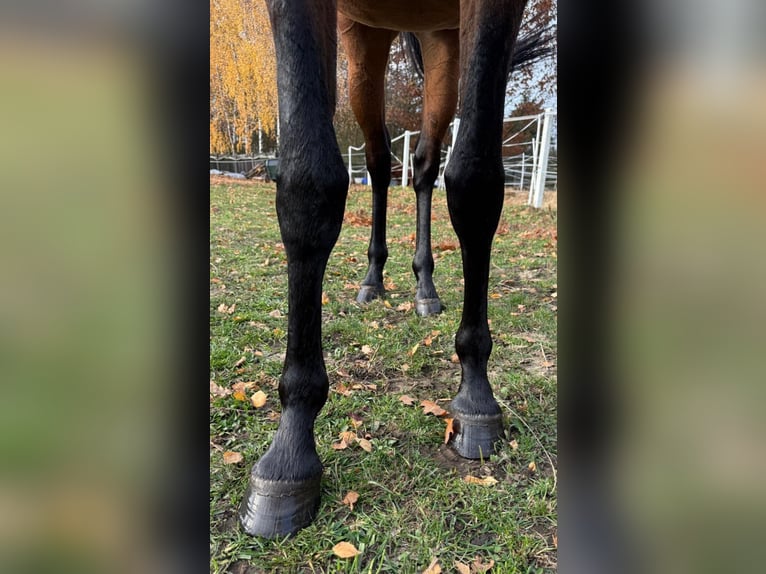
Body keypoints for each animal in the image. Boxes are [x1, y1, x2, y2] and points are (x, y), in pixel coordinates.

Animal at [240, 0, 552, 538]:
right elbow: (308, 183)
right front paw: (290, 451)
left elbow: (474, 180)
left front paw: (475, 394)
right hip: (363, 38)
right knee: (380, 161)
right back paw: (373, 280)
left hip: (441, 41)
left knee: (424, 165)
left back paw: (425, 286)